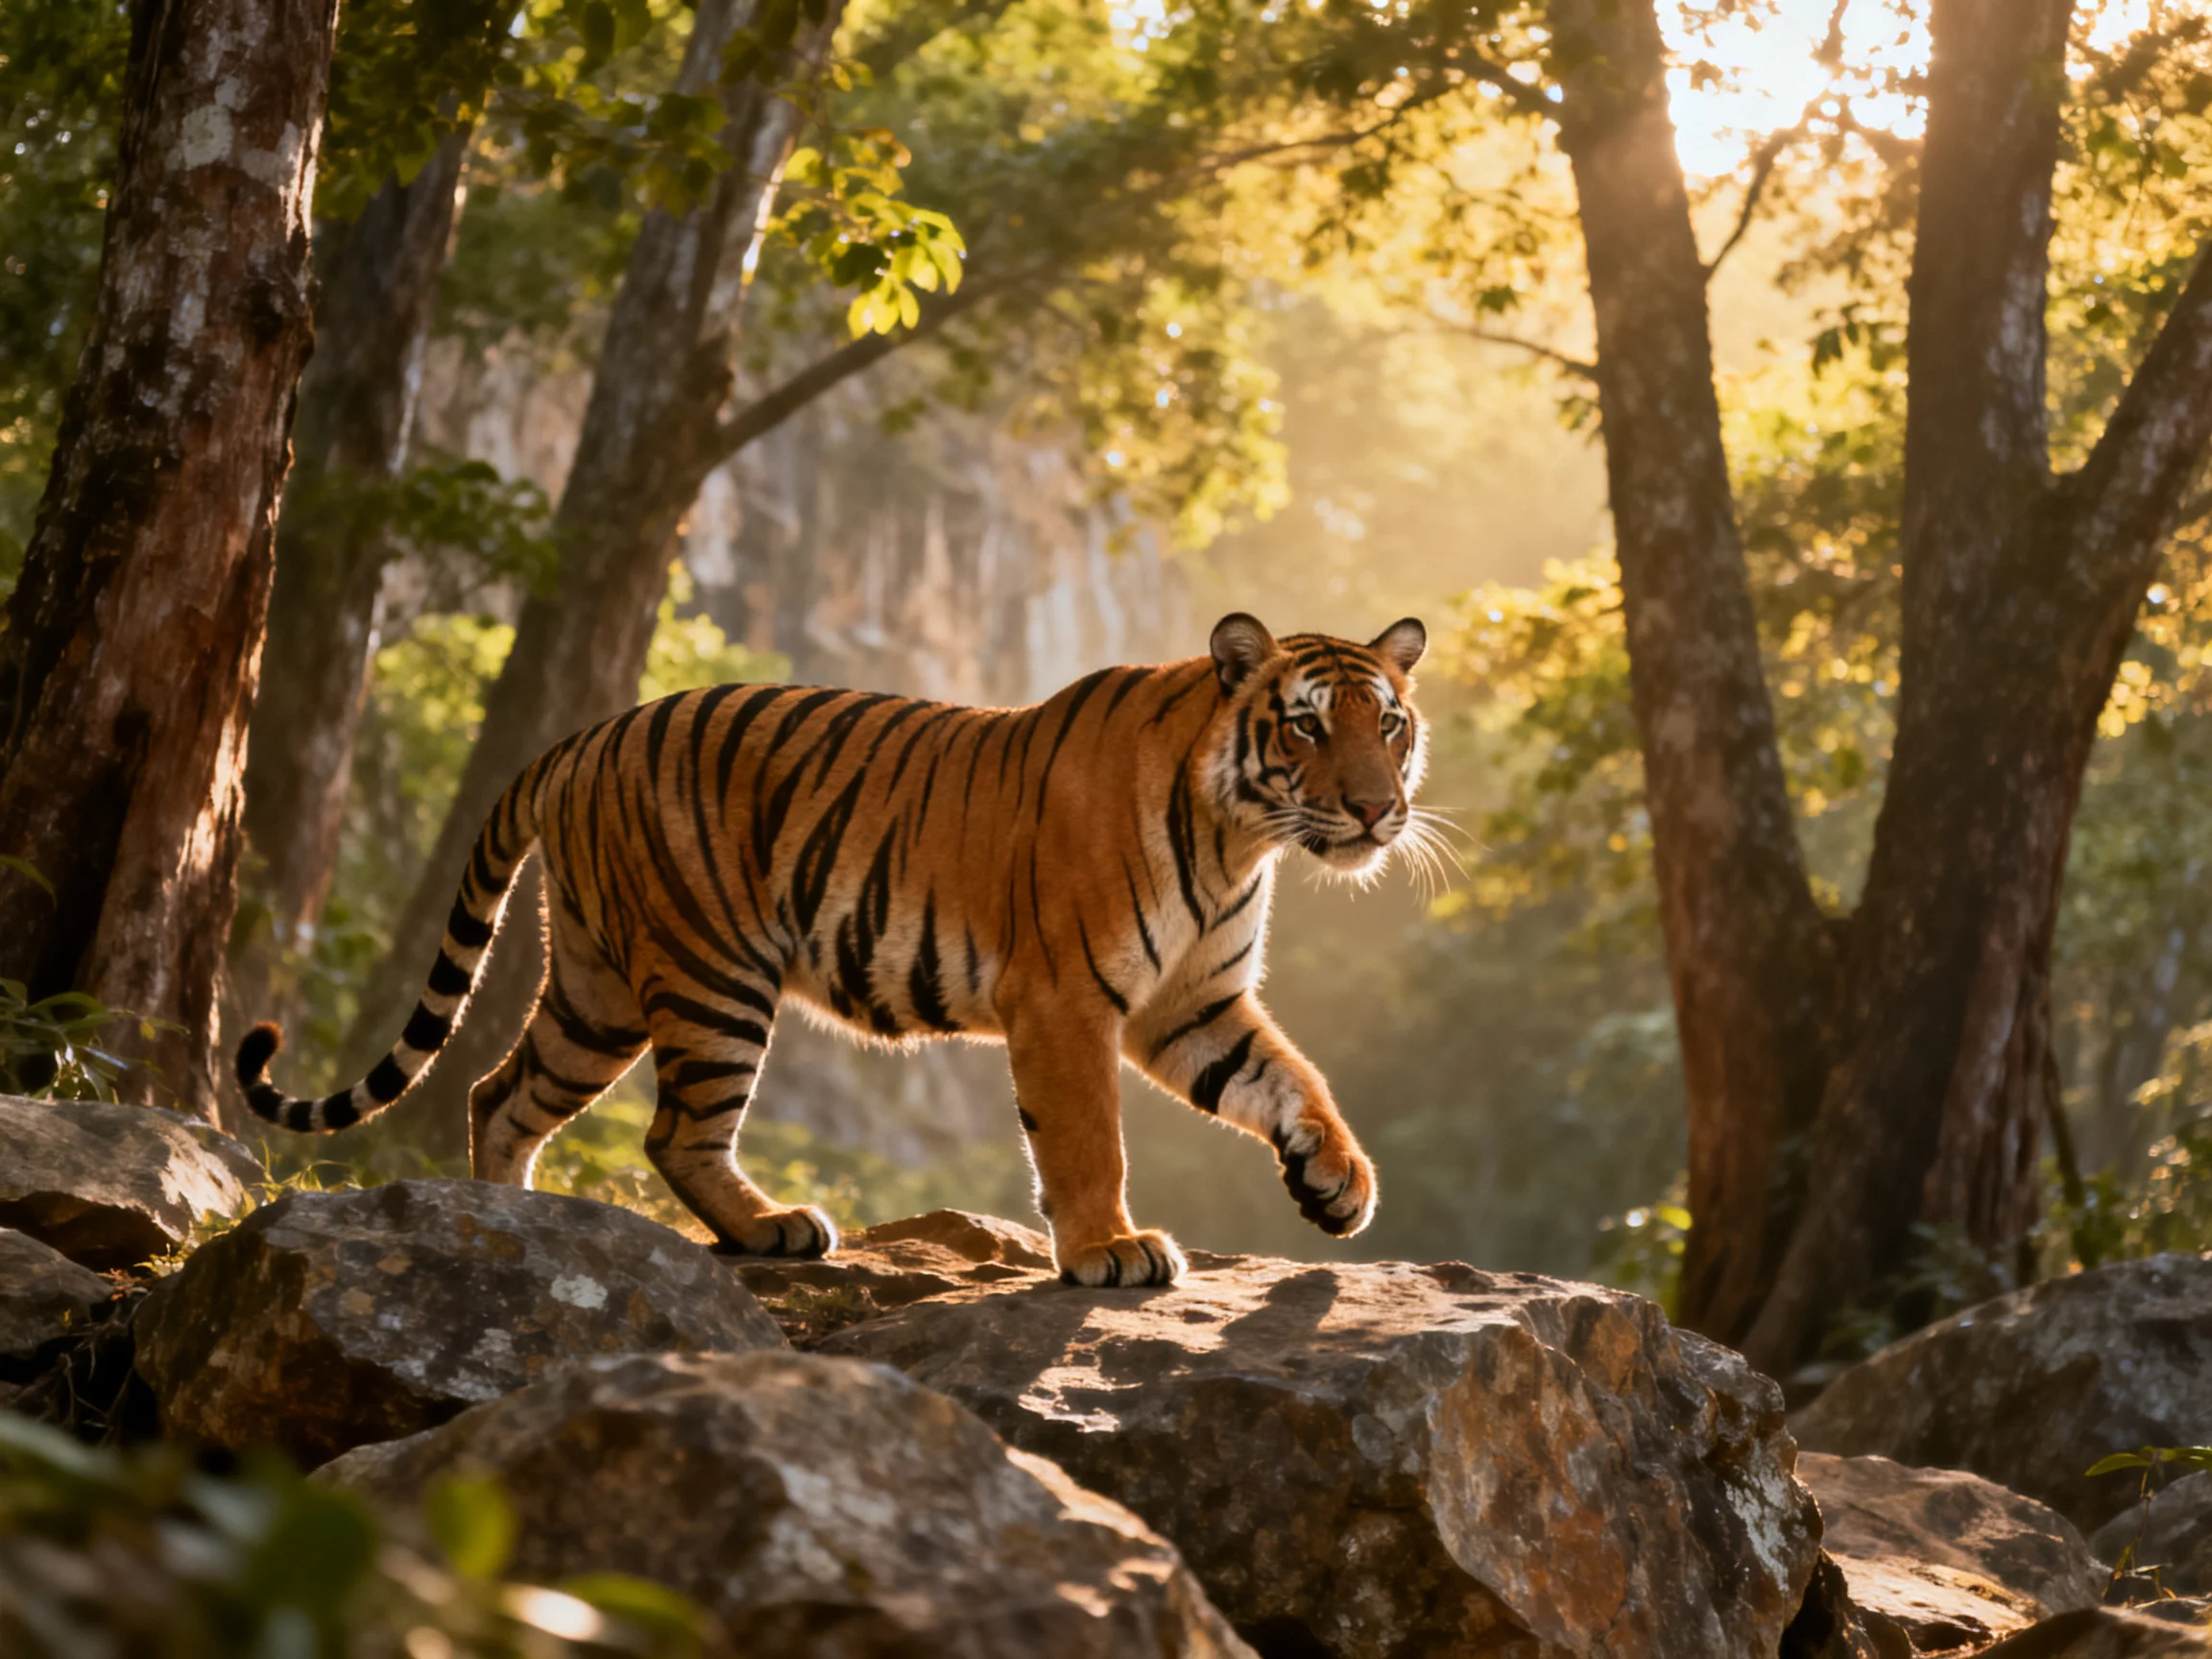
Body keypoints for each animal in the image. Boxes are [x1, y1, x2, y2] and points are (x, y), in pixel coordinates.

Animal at [236, 612, 1432, 1287]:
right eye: (1307, 725)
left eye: (1391, 725)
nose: (1378, 811)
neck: (1240, 839)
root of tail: (583, 735)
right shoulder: (1068, 1001)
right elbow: (1091, 1141)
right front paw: (1107, 1250)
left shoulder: (1190, 1003)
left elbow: (1292, 1078)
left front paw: (1340, 1183)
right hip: (710, 975)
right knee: (674, 1131)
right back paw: (770, 1229)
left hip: (595, 985)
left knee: (501, 1092)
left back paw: (511, 1227)